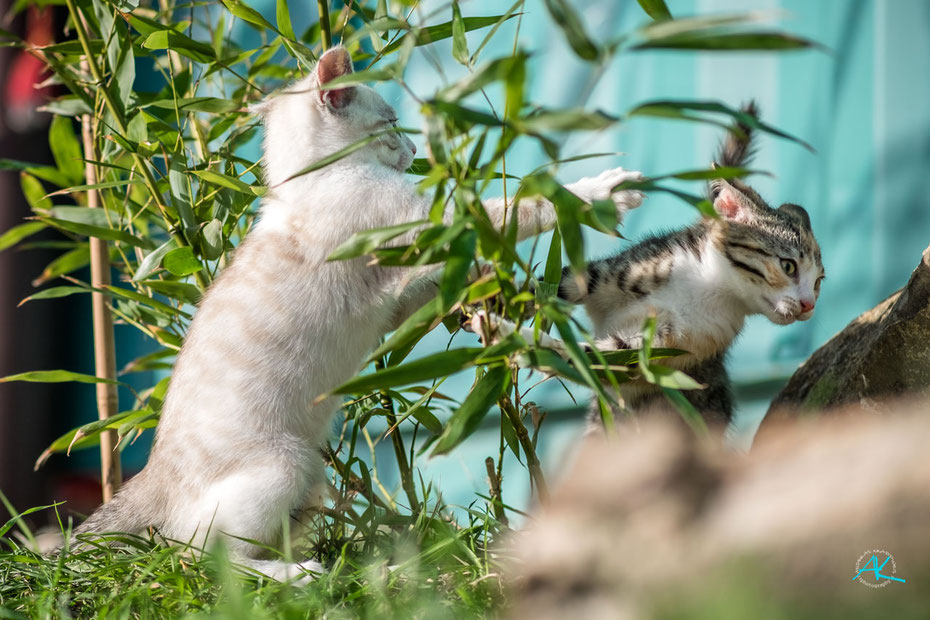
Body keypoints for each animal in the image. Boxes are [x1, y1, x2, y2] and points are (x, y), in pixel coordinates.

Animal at [72, 47, 640, 580]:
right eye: (392, 123)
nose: (414, 149)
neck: (313, 180)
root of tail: (149, 476)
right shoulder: (425, 223)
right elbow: (512, 209)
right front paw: (601, 190)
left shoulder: (396, 299)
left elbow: (433, 284)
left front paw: (485, 284)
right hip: (285, 463)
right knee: (200, 558)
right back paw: (297, 575)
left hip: (309, 485)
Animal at [474, 103, 824, 426]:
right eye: (789, 266)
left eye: (818, 283)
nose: (809, 305)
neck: (709, 285)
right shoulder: (617, 269)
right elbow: (548, 287)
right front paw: (492, 303)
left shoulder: (668, 346)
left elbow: (592, 358)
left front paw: (513, 339)